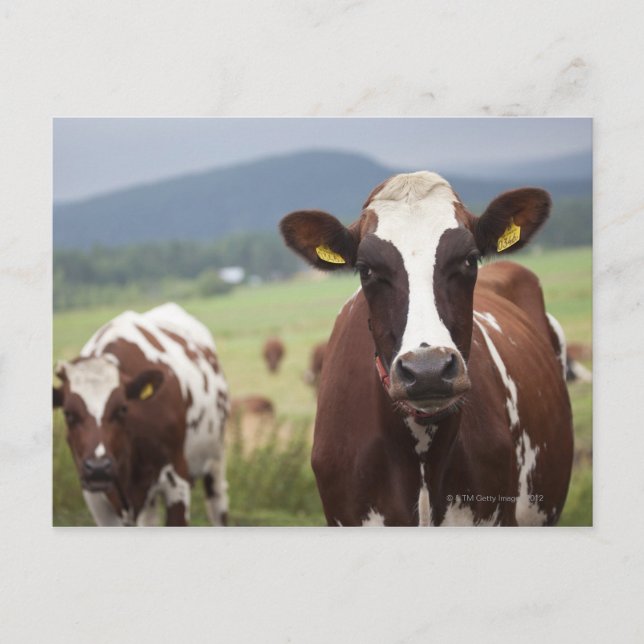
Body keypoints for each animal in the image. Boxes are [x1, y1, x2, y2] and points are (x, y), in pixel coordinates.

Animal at [53, 303, 230, 527]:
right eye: (68, 413)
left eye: (122, 409)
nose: (99, 467)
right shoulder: (95, 497)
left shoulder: (177, 480)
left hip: (215, 460)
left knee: (218, 506)